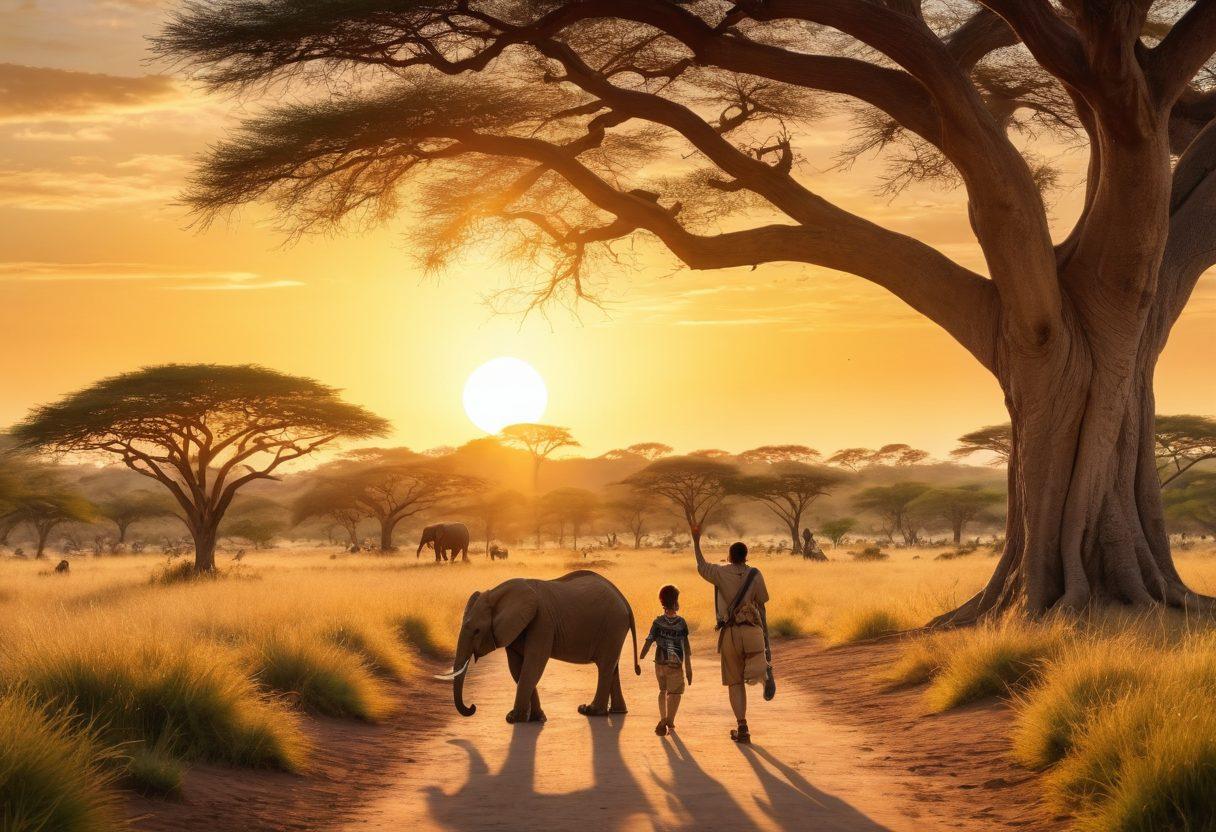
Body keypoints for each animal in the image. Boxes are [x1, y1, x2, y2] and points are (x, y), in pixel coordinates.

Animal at [436, 570, 640, 724]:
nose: (472, 707)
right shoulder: (514, 630)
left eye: (477, 631)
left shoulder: (542, 622)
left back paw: (590, 711)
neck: (496, 593)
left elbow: (533, 665)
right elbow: (517, 670)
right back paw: (617, 712)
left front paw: (513, 719)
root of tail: (624, 600)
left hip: (613, 625)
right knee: (612, 667)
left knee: (605, 666)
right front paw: (536, 718)